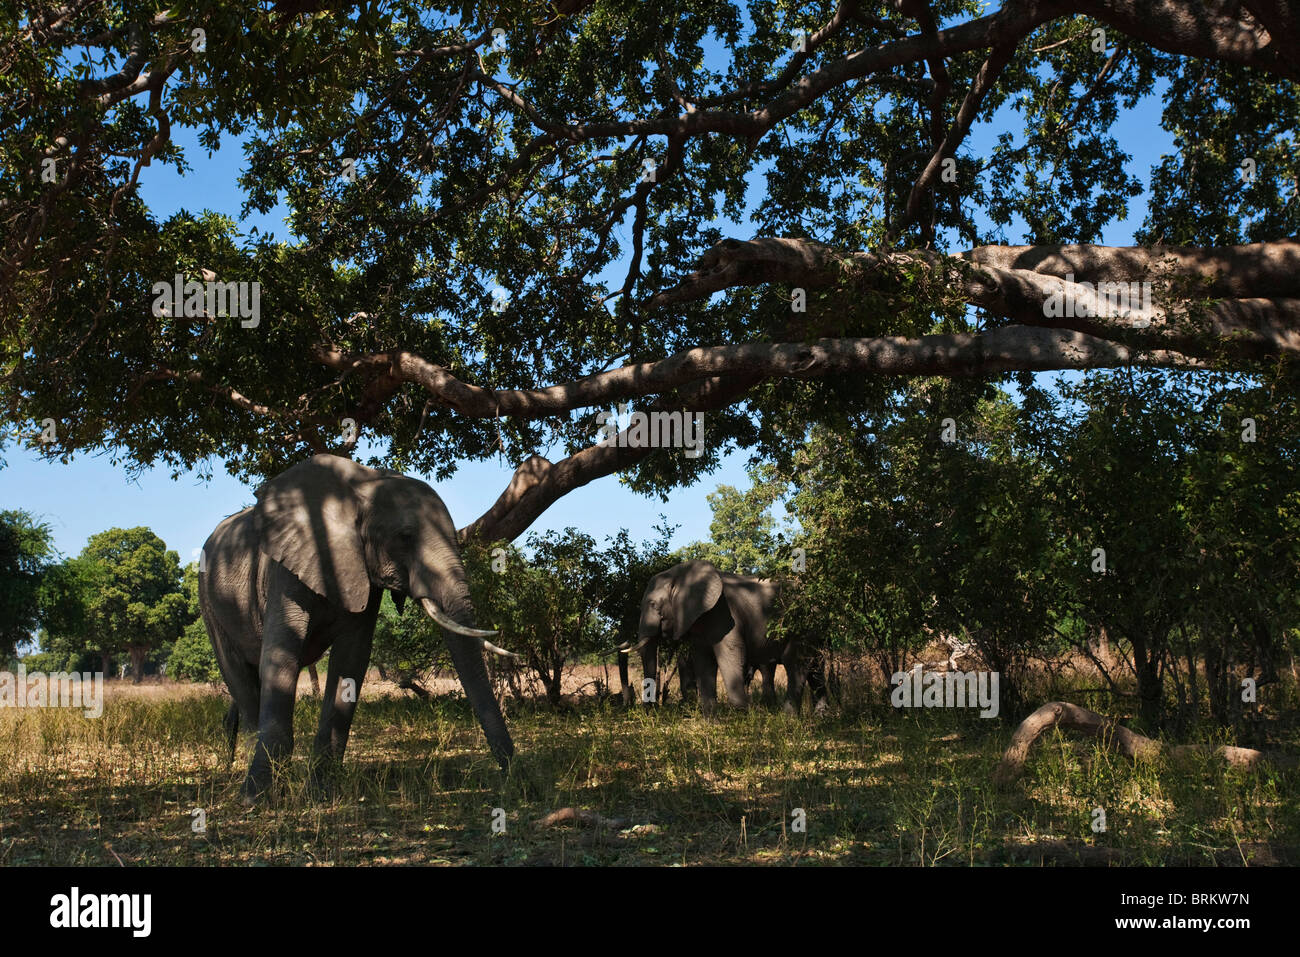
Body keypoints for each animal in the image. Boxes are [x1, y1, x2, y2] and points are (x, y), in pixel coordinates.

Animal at [197, 455, 512, 800]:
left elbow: (351, 659)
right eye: (405, 536)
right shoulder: (287, 568)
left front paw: (320, 793)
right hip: (210, 601)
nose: (510, 773)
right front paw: (256, 798)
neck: (362, 489)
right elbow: (281, 654)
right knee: (238, 674)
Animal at [624, 556, 826, 712]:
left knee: (796, 663)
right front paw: (712, 721)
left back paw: (788, 717)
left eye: (654, 605)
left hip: (802, 626)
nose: (651, 712)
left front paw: (741, 718)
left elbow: (730, 655)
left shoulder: (726, 615)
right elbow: (703, 662)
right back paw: (821, 716)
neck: (681, 573)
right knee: (816, 668)